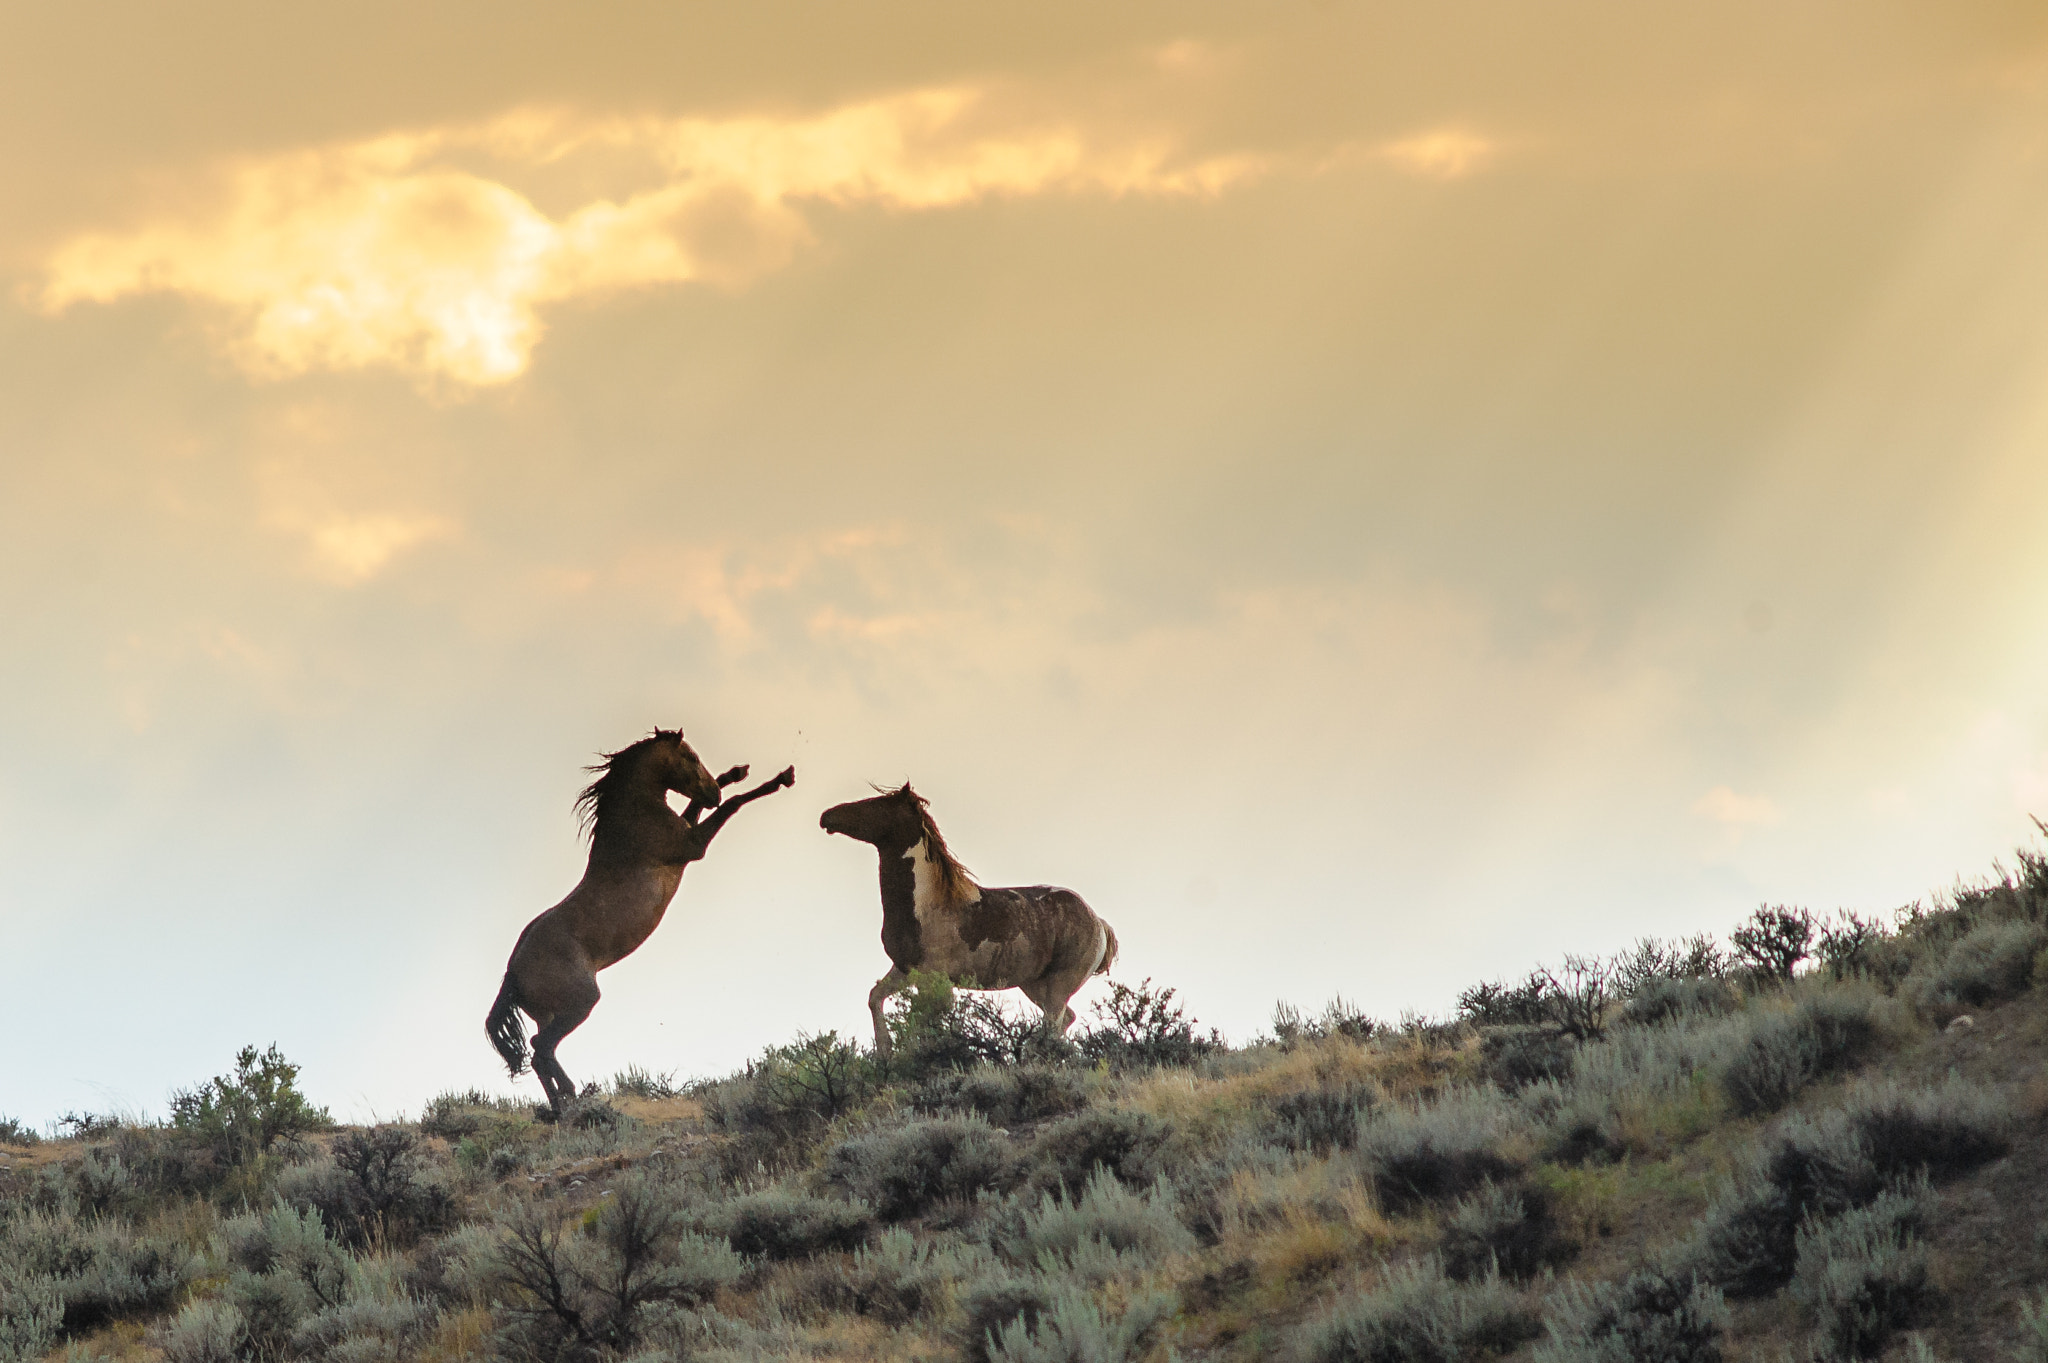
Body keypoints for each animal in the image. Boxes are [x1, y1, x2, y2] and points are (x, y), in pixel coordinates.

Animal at [483, 728, 794, 1113]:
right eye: (690, 757)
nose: (711, 792)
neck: (633, 821)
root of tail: (513, 972)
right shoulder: (692, 845)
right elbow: (733, 805)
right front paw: (779, 779)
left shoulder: (688, 830)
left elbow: (698, 809)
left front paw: (735, 773)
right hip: (580, 1004)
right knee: (541, 1050)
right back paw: (569, 1101)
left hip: (551, 1014)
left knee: (541, 1053)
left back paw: (564, 1103)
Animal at [815, 781, 1122, 1056]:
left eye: (876, 804)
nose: (827, 816)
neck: (927, 905)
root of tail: (1099, 923)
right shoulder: (904, 969)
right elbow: (876, 998)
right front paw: (885, 1053)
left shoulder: (933, 978)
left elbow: (925, 1024)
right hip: (1035, 984)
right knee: (1064, 1020)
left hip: (1061, 982)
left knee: (1053, 1025)